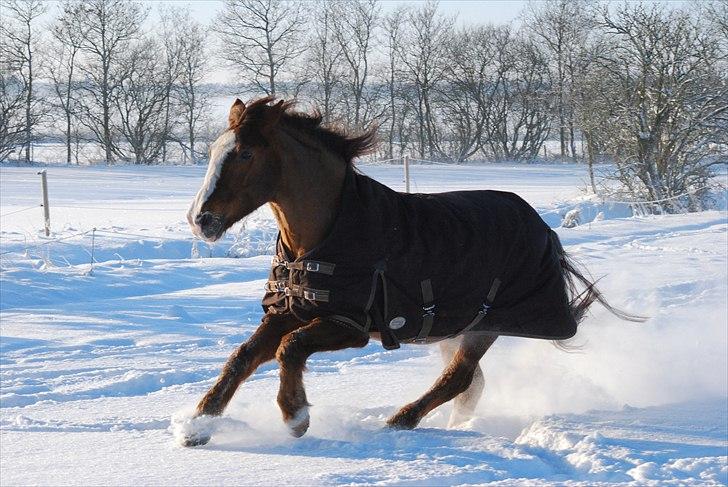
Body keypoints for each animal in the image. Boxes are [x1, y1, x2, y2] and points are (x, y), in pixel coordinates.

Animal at [182, 97, 636, 448]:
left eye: (245, 154)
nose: (201, 220)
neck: (320, 238)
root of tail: (543, 228)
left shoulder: (349, 325)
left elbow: (289, 349)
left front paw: (296, 418)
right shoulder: (289, 312)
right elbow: (243, 357)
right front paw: (197, 427)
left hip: (485, 325)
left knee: (459, 379)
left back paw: (401, 421)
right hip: (456, 329)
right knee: (471, 383)